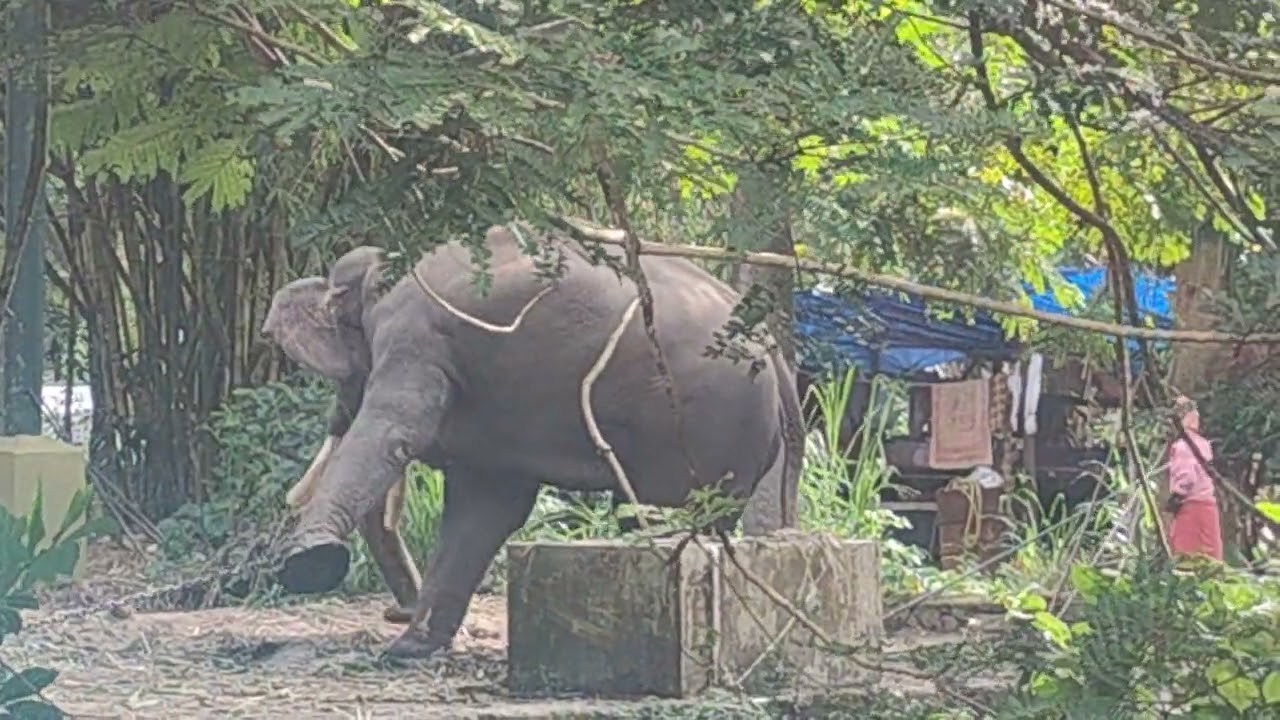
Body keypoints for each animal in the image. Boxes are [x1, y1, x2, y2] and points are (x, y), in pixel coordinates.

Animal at [260, 224, 804, 659]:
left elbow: (396, 431)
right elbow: (486, 505)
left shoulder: (416, 338)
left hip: (702, 424)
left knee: (667, 511)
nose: (397, 613)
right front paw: (409, 650)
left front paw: (307, 565)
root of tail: (775, 354)